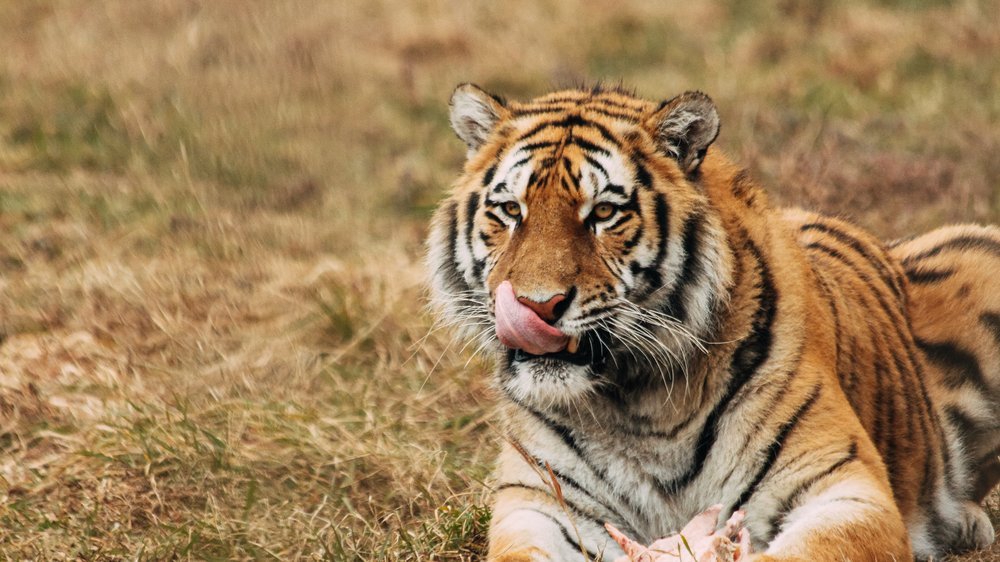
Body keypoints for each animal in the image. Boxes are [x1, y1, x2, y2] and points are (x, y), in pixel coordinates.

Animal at [426, 84, 996, 560]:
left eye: (604, 213)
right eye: (510, 210)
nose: (537, 306)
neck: (637, 404)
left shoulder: (843, 486)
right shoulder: (537, 505)